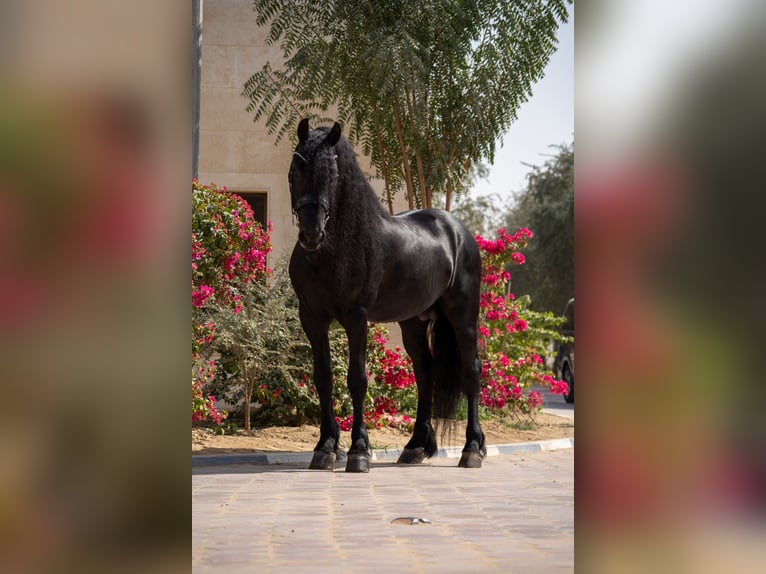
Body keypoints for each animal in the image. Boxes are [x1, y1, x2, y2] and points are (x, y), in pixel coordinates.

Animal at [288, 118, 486, 472]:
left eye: (334, 175)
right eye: (298, 168)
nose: (311, 234)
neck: (336, 250)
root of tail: (458, 231)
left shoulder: (357, 318)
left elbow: (357, 380)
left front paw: (358, 452)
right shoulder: (312, 318)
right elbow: (323, 377)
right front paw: (324, 448)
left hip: (463, 317)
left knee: (470, 370)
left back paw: (472, 450)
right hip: (414, 322)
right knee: (425, 373)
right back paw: (415, 447)